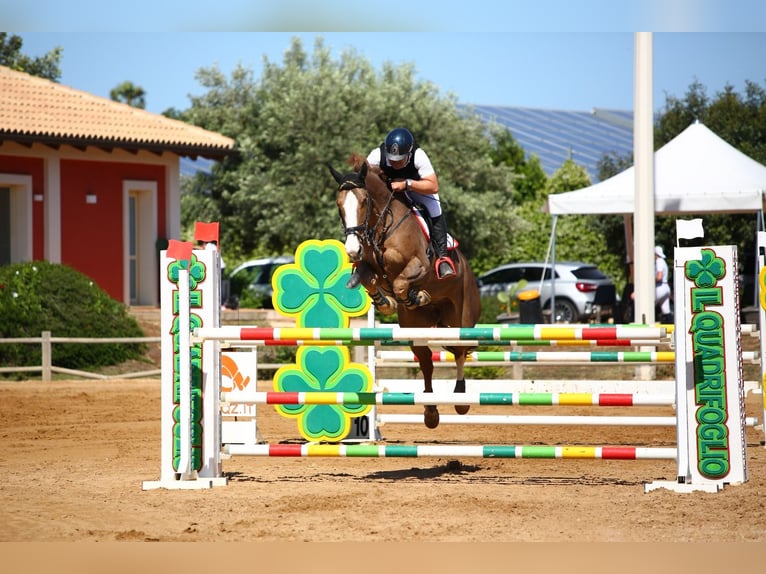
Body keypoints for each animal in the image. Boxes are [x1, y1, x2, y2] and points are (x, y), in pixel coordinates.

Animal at [328, 158, 484, 428]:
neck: (382, 226)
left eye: (364, 201)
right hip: (416, 327)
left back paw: (461, 400)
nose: (352, 250)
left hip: (460, 320)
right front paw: (386, 301)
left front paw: (413, 296)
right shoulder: (368, 267)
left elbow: (401, 282)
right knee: (426, 362)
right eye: (339, 206)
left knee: (460, 352)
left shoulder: (419, 265)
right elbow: (369, 279)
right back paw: (430, 413)